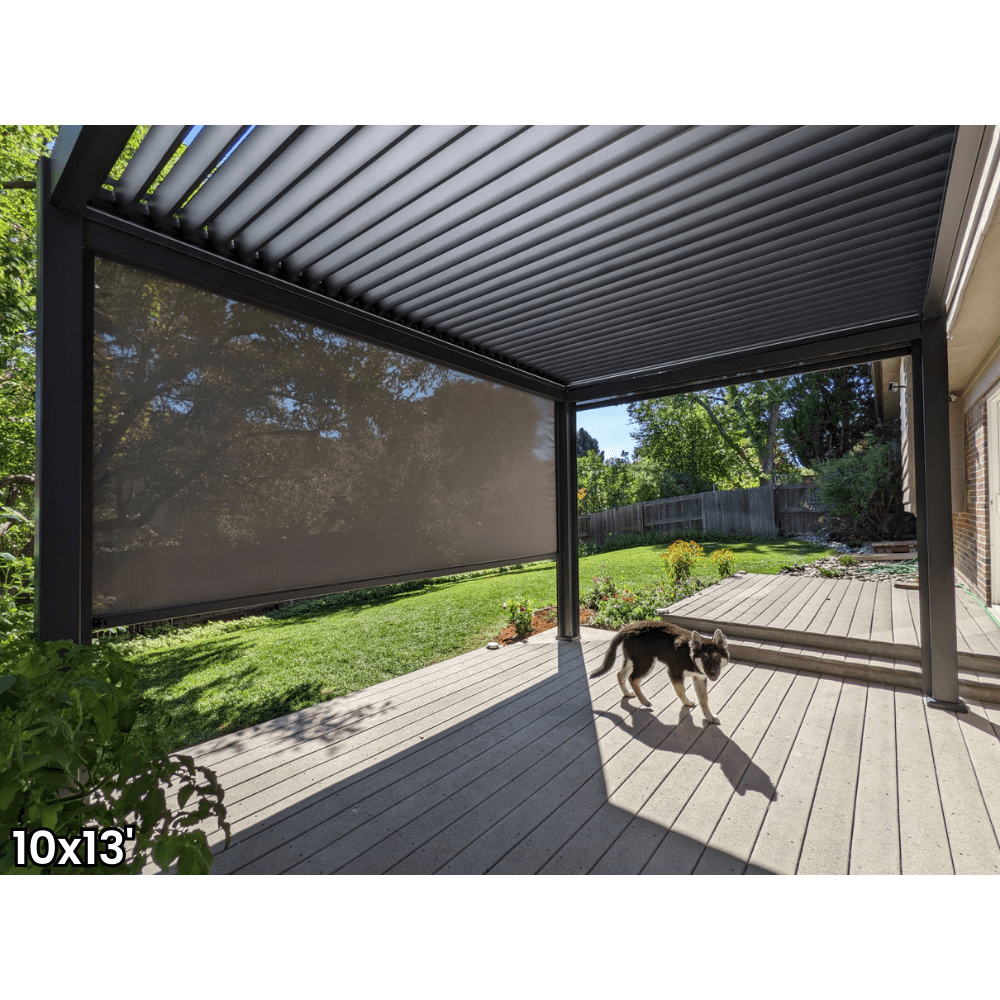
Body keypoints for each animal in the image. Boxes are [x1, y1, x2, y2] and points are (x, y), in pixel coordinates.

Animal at [588, 620, 732, 724]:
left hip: (633, 660)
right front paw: (686, 702)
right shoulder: (674, 672)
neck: (689, 655)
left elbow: (704, 699)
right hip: (646, 663)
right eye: (704, 658)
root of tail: (628, 628)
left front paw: (709, 716)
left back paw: (627, 693)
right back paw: (644, 701)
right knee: (632, 679)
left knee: (620, 675)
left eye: (717, 658)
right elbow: (681, 691)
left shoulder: (699, 678)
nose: (712, 674)